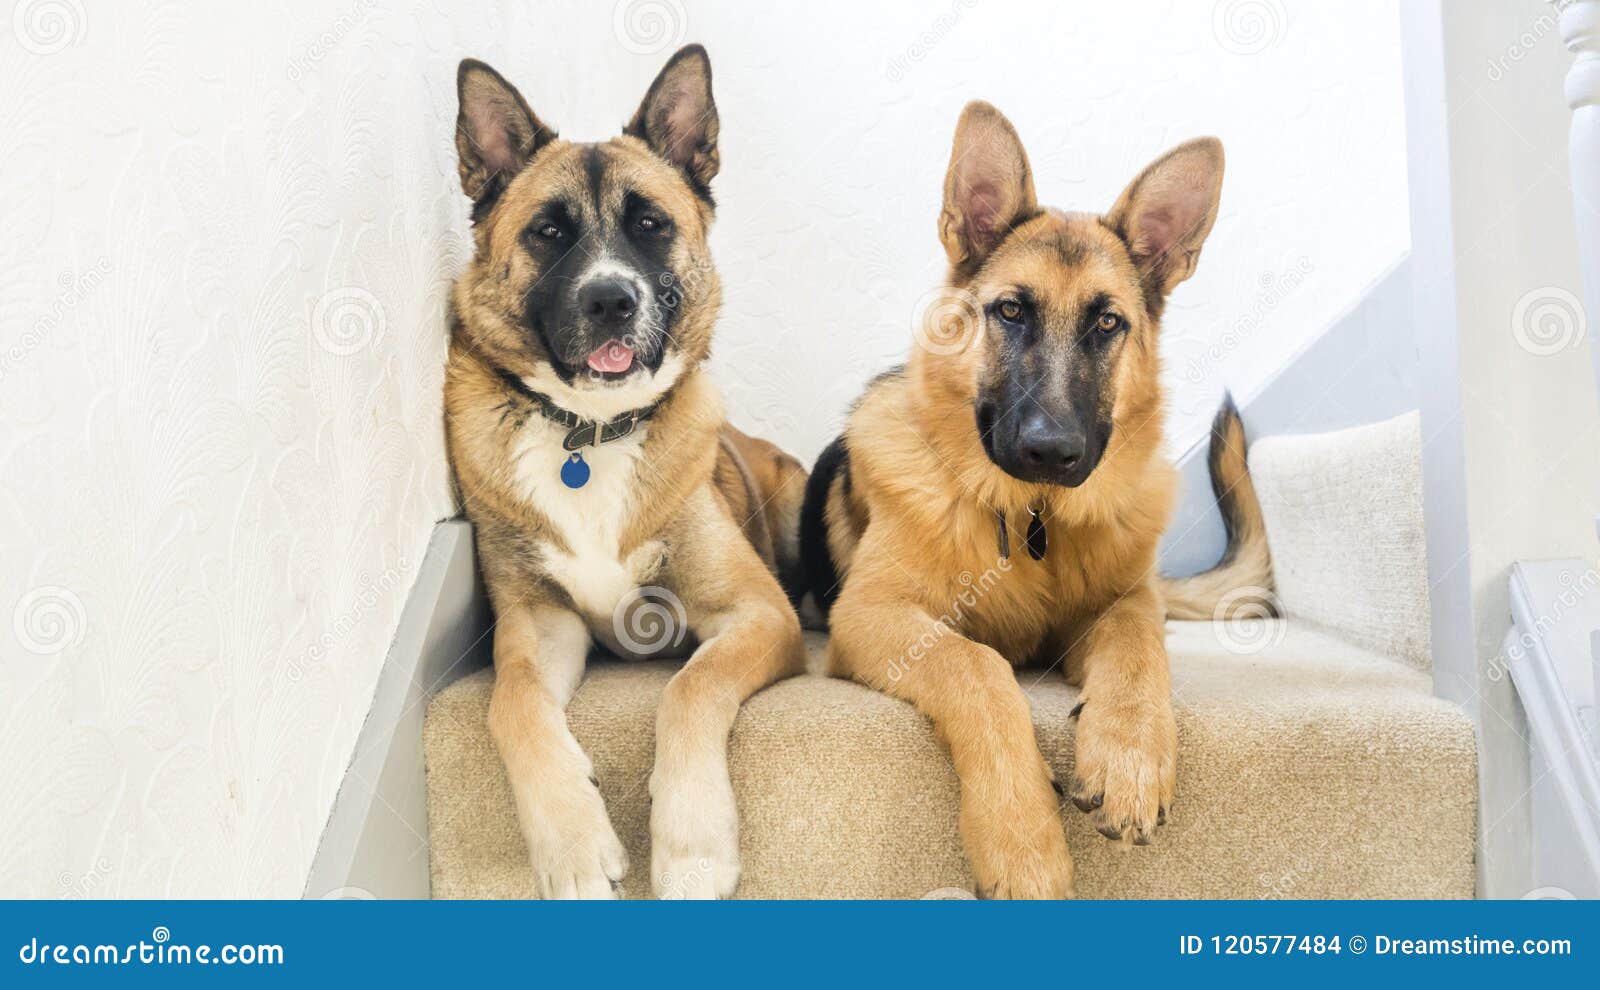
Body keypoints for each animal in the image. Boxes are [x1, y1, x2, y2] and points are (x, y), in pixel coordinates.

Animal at [444, 44, 806, 895]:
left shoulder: (758, 614)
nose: (611, 300)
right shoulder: (538, 622)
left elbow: (690, 685)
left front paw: (692, 845)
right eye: (548, 231)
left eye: (649, 225)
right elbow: (511, 701)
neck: (592, 433)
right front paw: (572, 845)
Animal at [800, 100, 1273, 895]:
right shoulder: (872, 617)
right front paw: (1023, 843)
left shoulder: (1122, 602)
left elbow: (1138, 645)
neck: (1031, 517)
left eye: (1108, 322)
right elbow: (979, 668)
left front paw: (1129, 759)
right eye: (1012, 312)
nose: (1051, 453)